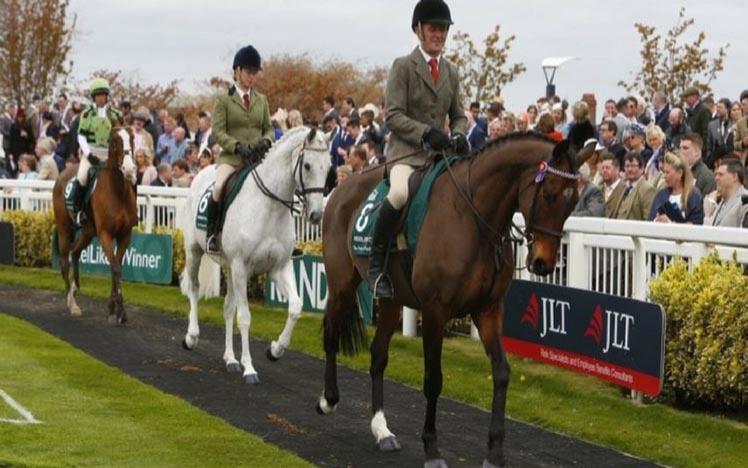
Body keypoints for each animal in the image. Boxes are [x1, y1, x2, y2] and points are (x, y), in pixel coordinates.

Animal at [54, 128, 140, 326]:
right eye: (115, 141)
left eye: (132, 139)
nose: (130, 169)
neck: (118, 192)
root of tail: (62, 174)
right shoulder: (105, 234)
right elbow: (115, 267)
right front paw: (120, 311)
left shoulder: (125, 235)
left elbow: (117, 266)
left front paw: (112, 308)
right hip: (64, 228)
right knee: (64, 262)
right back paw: (71, 303)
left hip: (87, 232)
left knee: (75, 252)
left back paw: (75, 289)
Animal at [180, 125, 332, 384]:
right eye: (307, 165)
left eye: (329, 166)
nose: (315, 215)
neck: (271, 207)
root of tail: (201, 173)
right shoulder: (242, 267)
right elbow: (245, 317)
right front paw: (249, 368)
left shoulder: (278, 268)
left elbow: (295, 307)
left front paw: (275, 350)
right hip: (195, 252)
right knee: (194, 288)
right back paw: (191, 336)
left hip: (229, 267)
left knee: (228, 307)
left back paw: (230, 359)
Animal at [318, 133, 596, 466]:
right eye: (550, 195)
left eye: (573, 201)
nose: (543, 263)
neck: (474, 217)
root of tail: (343, 186)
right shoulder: (435, 311)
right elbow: (433, 380)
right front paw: (432, 449)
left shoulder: (489, 310)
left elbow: (502, 373)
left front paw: (495, 452)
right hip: (342, 285)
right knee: (331, 333)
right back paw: (328, 400)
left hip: (391, 300)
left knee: (378, 355)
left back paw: (382, 431)